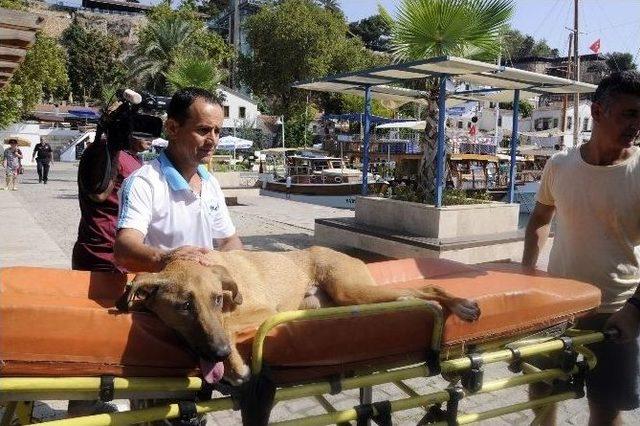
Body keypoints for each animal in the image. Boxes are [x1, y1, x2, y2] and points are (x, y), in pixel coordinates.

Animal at [122, 246, 478, 382]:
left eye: (217, 300)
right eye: (184, 307)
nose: (220, 352)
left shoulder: (262, 309)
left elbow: (230, 324)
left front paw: (235, 363)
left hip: (350, 289)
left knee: (427, 289)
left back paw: (460, 304)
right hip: (341, 302)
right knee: (410, 296)